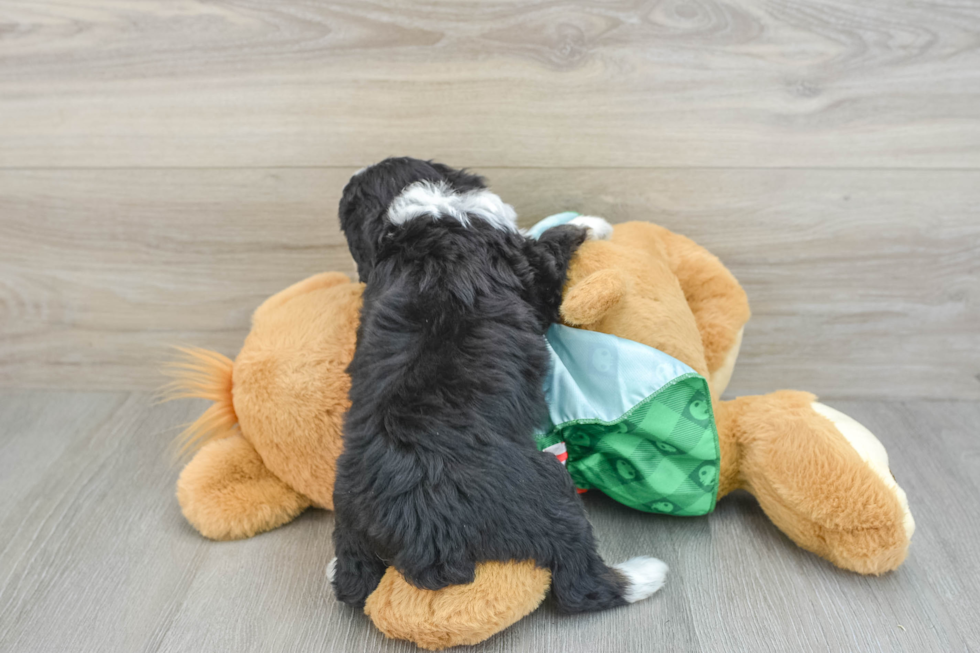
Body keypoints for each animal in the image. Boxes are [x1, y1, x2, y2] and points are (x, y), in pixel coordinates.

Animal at [332, 158, 668, 612]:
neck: (423, 215)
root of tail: (420, 523)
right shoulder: (534, 271)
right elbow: (554, 241)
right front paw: (592, 222)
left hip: (349, 512)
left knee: (351, 581)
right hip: (547, 487)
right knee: (580, 582)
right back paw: (646, 574)